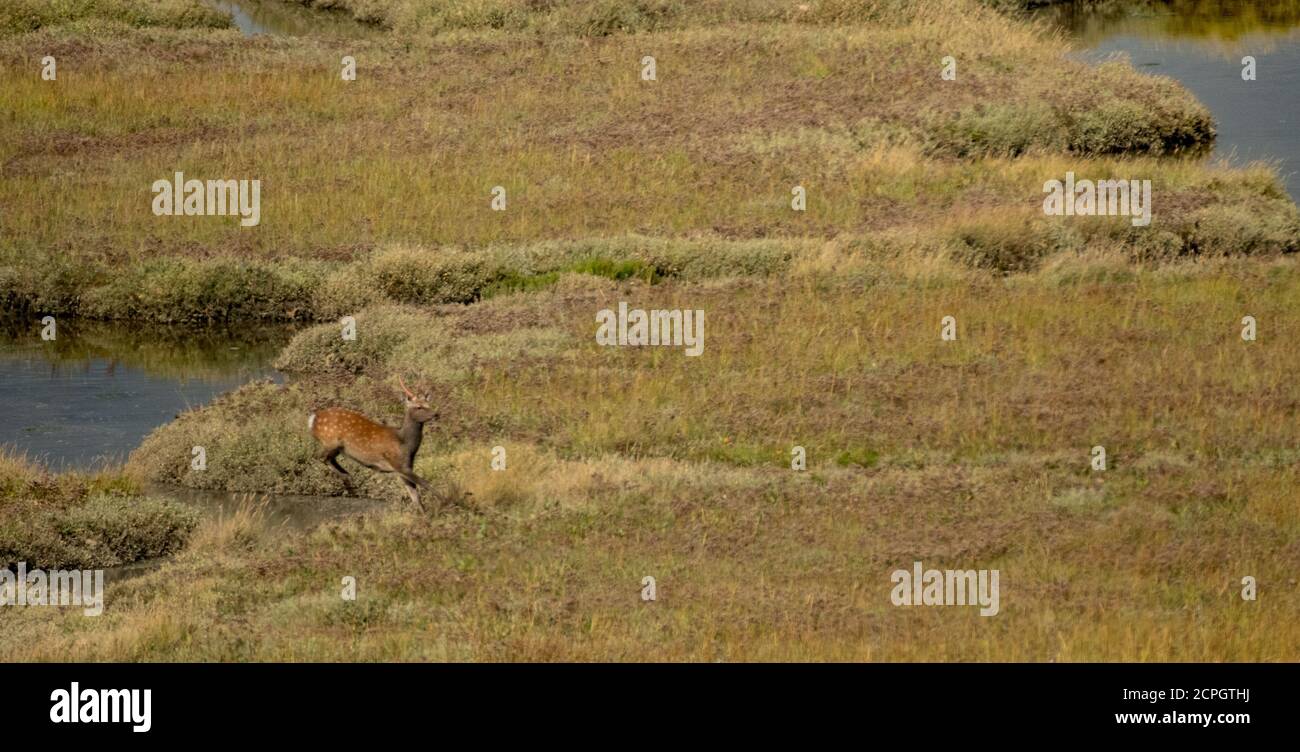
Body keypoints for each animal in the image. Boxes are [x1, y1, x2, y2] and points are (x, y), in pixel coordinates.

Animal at [308, 375, 438, 512]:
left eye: (428, 404)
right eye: (418, 406)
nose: (436, 414)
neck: (406, 444)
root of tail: (313, 419)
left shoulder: (404, 468)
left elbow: (416, 498)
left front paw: (425, 513)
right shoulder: (399, 464)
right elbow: (426, 483)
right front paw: (444, 502)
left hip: (338, 447)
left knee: (328, 458)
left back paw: (347, 477)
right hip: (331, 440)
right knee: (320, 457)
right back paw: (348, 479)